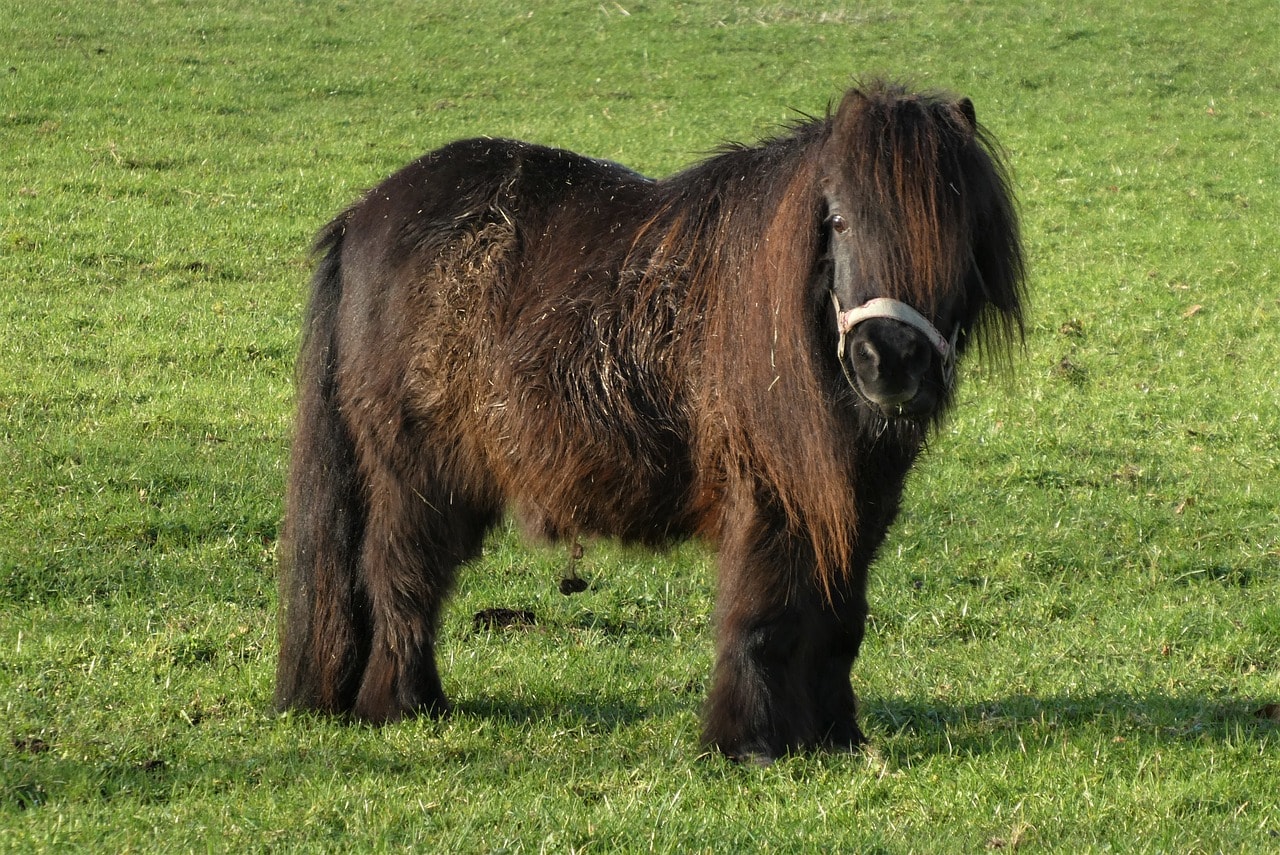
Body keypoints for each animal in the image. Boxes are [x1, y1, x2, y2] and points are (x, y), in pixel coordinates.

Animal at [275, 80, 1026, 763]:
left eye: (956, 231)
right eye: (838, 221)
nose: (887, 362)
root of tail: (364, 215)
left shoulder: (859, 501)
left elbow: (839, 620)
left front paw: (836, 737)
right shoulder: (768, 496)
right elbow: (764, 616)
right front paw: (747, 743)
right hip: (415, 474)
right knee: (400, 577)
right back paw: (404, 706)